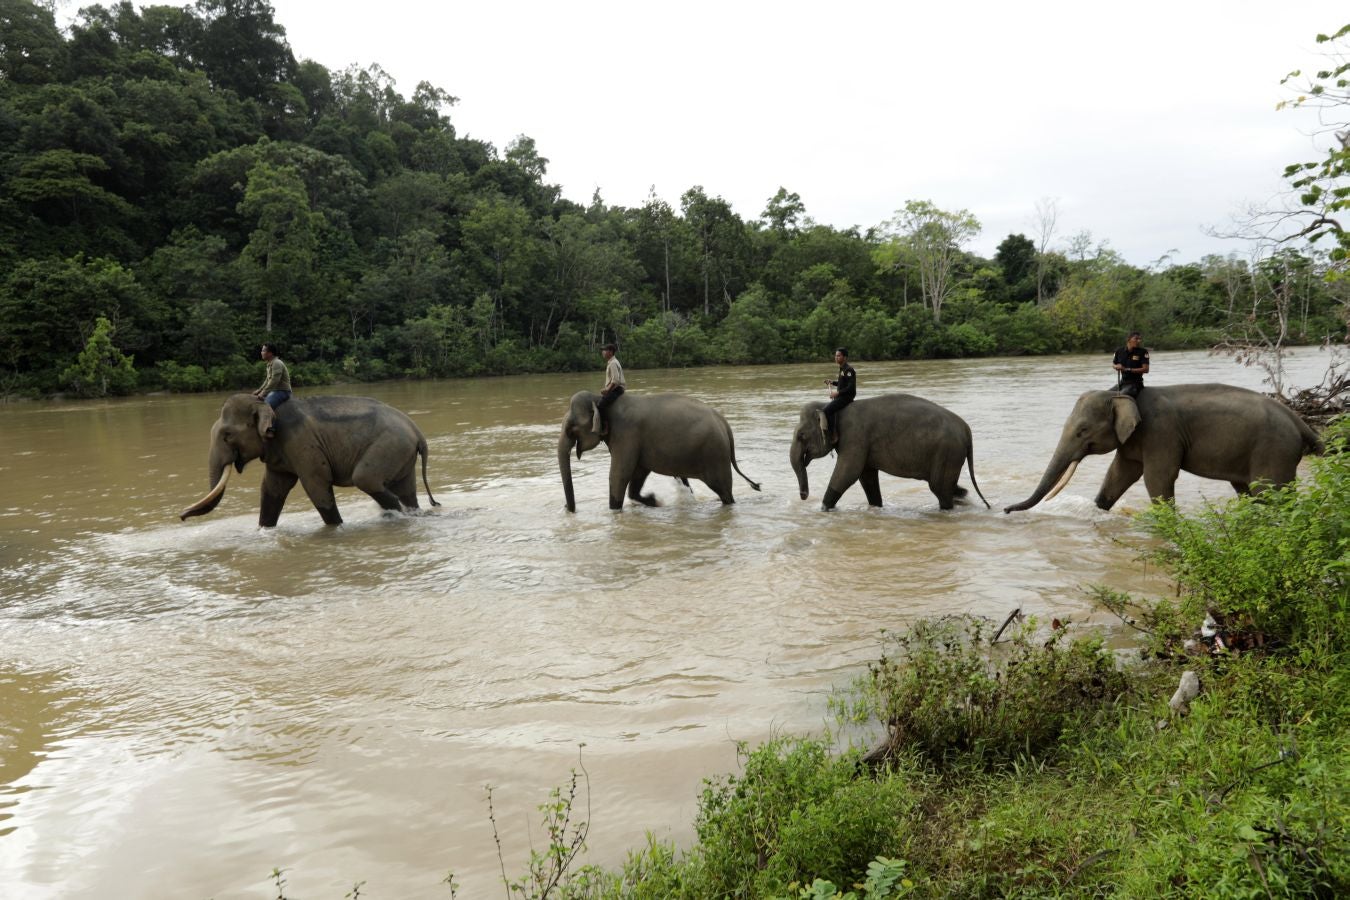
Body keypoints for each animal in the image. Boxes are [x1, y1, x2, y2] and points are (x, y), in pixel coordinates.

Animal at [179, 394, 440, 528]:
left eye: (227, 435)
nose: (181, 516)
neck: (266, 404)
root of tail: (418, 432)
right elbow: (272, 489)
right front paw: (264, 530)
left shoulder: (302, 445)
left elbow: (316, 485)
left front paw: (336, 528)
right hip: (402, 453)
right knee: (406, 491)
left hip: (389, 446)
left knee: (366, 480)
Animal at [556, 388, 761, 510]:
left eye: (571, 429)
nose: (567, 509)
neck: (601, 400)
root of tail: (724, 424)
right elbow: (637, 474)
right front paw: (654, 501)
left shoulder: (626, 435)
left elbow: (619, 474)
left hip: (715, 455)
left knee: (724, 491)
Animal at [788, 396, 993, 512]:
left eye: (801, 436)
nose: (803, 496)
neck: (831, 407)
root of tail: (966, 430)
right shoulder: (861, 444)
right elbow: (867, 476)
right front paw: (876, 507)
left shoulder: (855, 437)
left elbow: (848, 473)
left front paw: (822, 509)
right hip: (951, 454)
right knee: (948, 487)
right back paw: (961, 496)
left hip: (947, 452)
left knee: (940, 489)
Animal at [1009, 385, 1323, 518]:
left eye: (1082, 431)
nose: (1006, 510)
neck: (1121, 393)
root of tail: (1302, 423)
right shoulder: (1134, 439)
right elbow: (1119, 474)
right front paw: (1100, 509)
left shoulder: (1161, 432)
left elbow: (1157, 478)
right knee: (1249, 492)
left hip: (1274, 451)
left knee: (1271, 494)